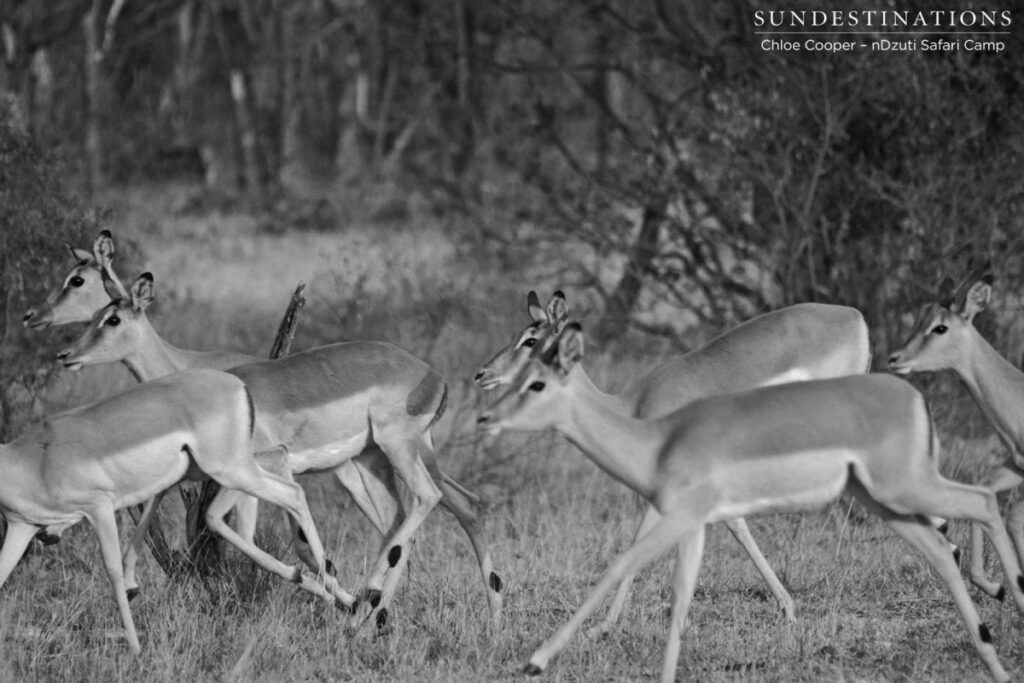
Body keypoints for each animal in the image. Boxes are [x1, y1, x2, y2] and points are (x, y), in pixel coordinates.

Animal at [0, 368, 349, 653]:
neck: (32, 461)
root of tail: (237, 384)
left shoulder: (98, 507)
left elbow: (111, 570)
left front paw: (136, 648)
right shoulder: (23, 526)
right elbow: (3, 572)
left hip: (228, 470)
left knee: (291, 493)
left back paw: (334, 593)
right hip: (214, 470)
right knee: (274, 476)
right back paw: (330, 591)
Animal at [26, 232, 502, 629]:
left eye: (78, 282)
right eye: (94, 311)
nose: (60, 348)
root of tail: (432, 375)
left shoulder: (266, 467)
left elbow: (278, 539)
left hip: (391, 454)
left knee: (428, 503)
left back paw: (371, 611)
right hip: (375, 462)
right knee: (438, 511)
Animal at [477, 323, 1024, 683]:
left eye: (532, 344)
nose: (482, 380)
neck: (633, 411)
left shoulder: (679, 504)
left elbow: (633, 555)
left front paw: (576, 641)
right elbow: (699, 567)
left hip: (894, 485)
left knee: (977, 504)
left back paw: (1002, 597)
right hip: (881, 492)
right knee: (948, 532)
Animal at [888, 265, 1024, 599]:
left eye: (941, 327)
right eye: (920, 319)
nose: (895, 358)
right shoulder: (1015, 464)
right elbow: (987, 493)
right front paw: (994, 587)